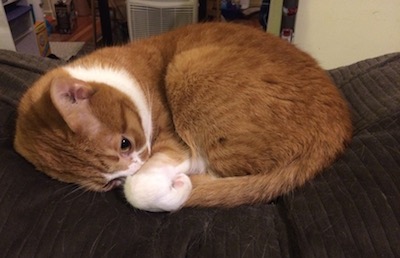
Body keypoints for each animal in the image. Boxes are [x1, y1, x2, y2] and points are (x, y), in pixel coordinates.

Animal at [13, 22, 350, 212]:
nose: (134, 169)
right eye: (108, 184)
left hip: (188, 67)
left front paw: (179, 185)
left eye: (125, 143)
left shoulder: (175, 143)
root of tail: (338, 127)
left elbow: (140, 189)